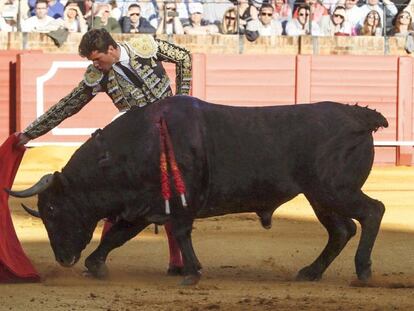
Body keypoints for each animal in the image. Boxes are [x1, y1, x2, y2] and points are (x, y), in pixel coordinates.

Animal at [8, 96, 388, 286]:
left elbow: (179, 232)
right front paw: (96, 265)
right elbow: (115, 236)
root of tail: (360, 117)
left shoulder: (177, 204)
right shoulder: (142, 206)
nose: (62, 259)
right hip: (319, 196)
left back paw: (363, 272)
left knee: (372, 211)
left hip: (333, 189)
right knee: (341, 230)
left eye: (52, 210)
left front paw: (191, 272)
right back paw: (310, 272)